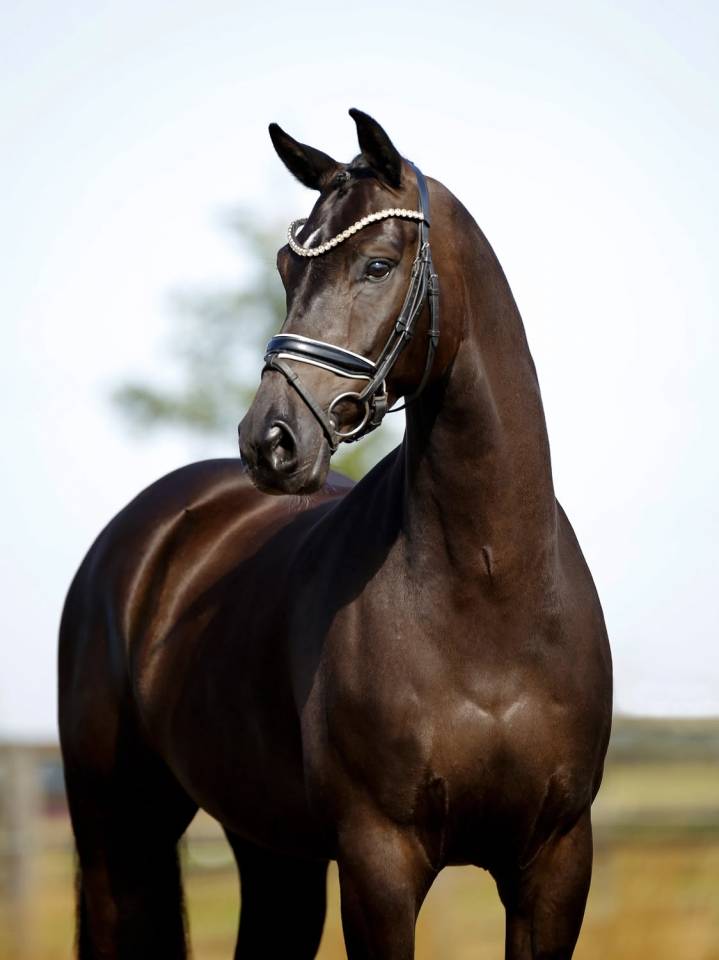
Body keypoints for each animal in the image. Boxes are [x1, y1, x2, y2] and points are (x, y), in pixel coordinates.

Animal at [59, 108, 612, 959]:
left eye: (378, 264)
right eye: (287, 266)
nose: (270, 440)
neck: (488, 586)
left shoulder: (554, 861)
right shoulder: (377, 859)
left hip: (272, 849)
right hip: (117, 833)